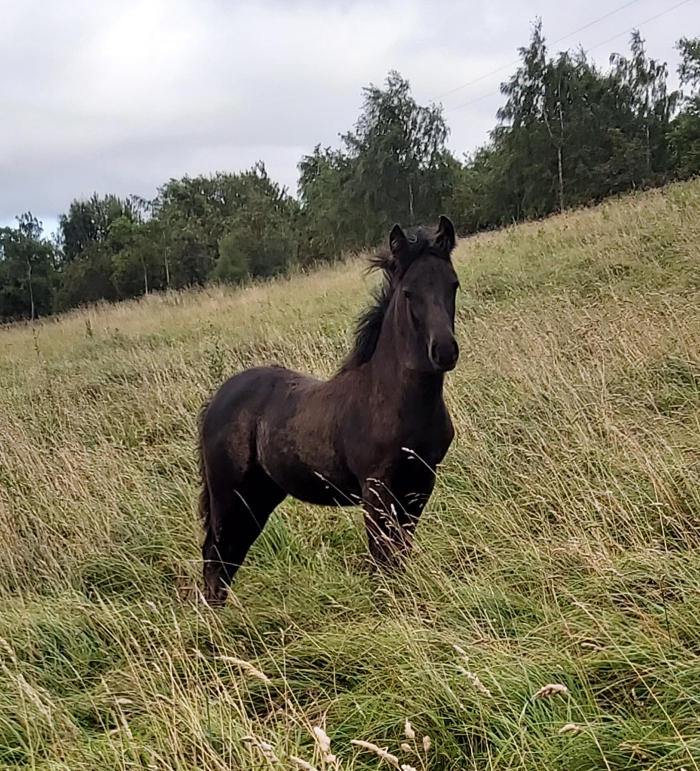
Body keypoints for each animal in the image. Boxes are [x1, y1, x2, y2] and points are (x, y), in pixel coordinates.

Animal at [197, 216, 460, 604]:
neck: (395, 399)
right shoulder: (376, 488)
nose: (444, 351)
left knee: (227, 559)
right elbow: (383, 557)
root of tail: (216, 400)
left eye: (453, 284)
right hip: (229, 495)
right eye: (409, 292)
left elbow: (400, 553)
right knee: (215, 558)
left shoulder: (421, 481)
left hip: (260, 497)